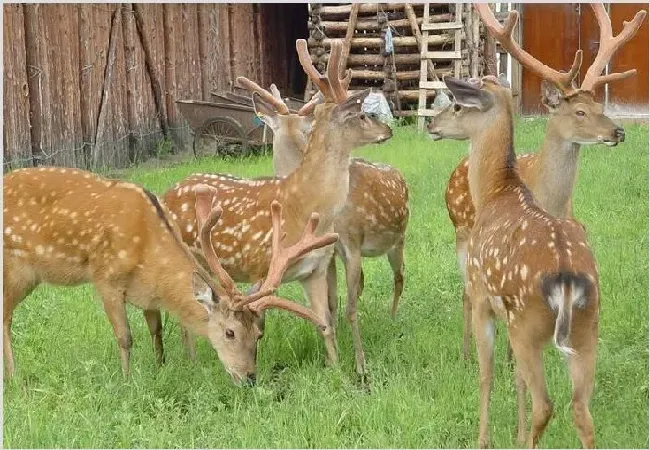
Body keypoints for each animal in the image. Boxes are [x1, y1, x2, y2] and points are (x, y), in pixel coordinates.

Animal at [5, 167, 336, 384]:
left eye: (259, 333)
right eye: (229, 332)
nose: (249, 377)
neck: (148, 251)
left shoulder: (147, 293)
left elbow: (157, 331)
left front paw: (161, 367)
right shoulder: (106, 278)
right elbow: (125, 338)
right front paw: (127, 382)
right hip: (16, 269)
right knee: (5, 317)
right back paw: (15, 379)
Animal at [165, 37, 392, 370]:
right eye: (362, 115)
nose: (389, 130)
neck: (305, 203)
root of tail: (166, 194)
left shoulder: (315, 269)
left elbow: (325, 322)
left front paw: (337, 370)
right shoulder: (263, 267)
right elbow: (256, 322)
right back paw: (191, 362)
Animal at [234, 73, 410, 376]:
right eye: (361, 115)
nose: (388, 129)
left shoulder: (349, 244)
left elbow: (347, 306)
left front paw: (360, 365)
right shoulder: (328, 254)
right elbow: (331, 303)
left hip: (397, 241)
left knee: (398, 277)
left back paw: (392, 318)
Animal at [428, 1, 644, 360]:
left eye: (598, 105)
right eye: (579, 112)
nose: (619, 132)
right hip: (460, 230)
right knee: (466, 293)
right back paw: (466, 353)